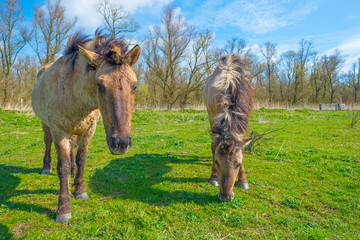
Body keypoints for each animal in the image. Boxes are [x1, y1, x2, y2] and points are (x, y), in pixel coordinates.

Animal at [31, 31, 141, 223]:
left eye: (134, 86)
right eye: (100, 85)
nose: (120, 144)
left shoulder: (88, 130)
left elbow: (81, 159)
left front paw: (80, 190)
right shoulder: (59, 131)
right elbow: (63, 166)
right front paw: (63, 209)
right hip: (46, 125)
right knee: (47, 142)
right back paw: (46, 167)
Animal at [202, 54, 253, 201]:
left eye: (238, 164)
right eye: (217, 162)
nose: (225, 196)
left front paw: (243, 180)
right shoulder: (213, 118)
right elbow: (214, 146)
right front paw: (213, 177)